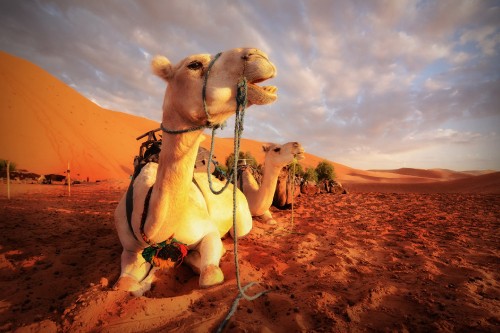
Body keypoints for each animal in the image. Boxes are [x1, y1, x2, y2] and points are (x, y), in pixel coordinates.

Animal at [114, 48, 278, 294]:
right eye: (194, 64)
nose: (258, 55)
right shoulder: (130, 247)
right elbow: (124, 284)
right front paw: (145, 281)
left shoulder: (206, 230)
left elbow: (210, 275)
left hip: (241, 220)